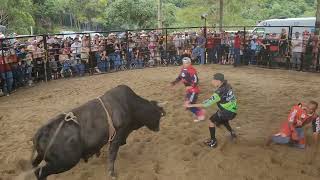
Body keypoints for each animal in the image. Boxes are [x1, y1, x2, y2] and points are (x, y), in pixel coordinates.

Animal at [30, 85, 165, 179]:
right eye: (158, 114)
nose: (158, 129)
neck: (130, 105)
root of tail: (40, 133)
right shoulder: (118, 135)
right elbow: (112, 154)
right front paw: (111, 173)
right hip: (64, 162)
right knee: (40, 172)